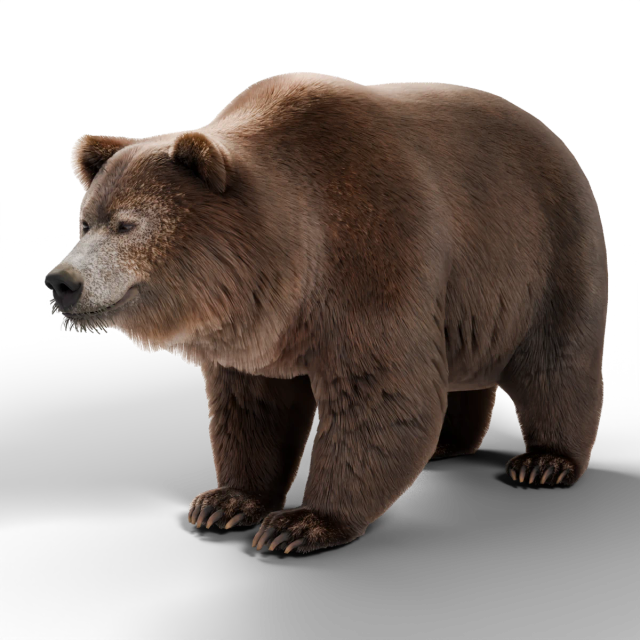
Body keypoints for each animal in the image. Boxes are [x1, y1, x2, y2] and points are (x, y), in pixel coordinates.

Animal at [45, 72, 608, 554]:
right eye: (86, 220)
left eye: (128, 224)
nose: (62, 282)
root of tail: (555, 138)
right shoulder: (254, 336)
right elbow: (253, 408)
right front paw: (224, 501)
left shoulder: (373, 258)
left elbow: (380, 394)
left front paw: (301, 523)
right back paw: (450, 441)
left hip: (543, 253)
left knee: (558, 362)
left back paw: (546, 461)